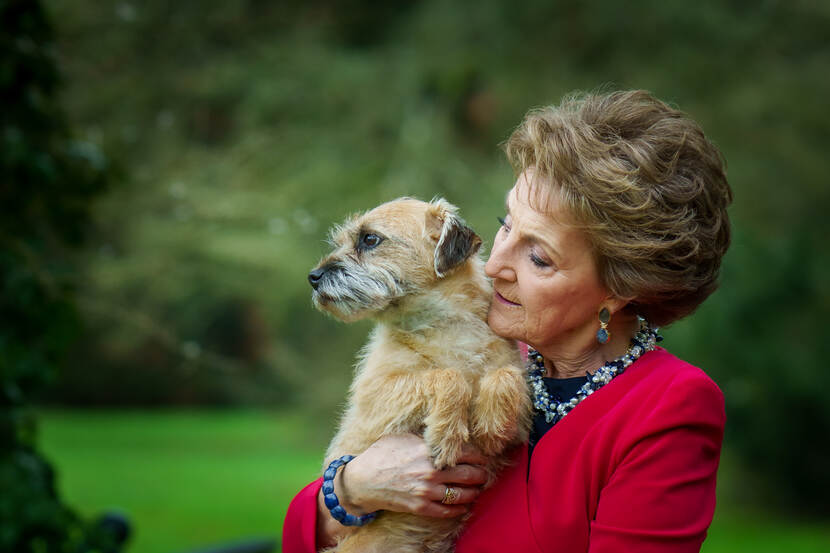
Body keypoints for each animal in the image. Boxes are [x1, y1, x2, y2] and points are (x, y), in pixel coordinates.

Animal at [308, 198, 532, 552]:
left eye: (370, 239)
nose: (313, 277)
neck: (443, 326)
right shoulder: (375, 401)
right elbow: (448, 376)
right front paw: (446, 435)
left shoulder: (521, 421)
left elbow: (506, 374)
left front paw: (491, 425)